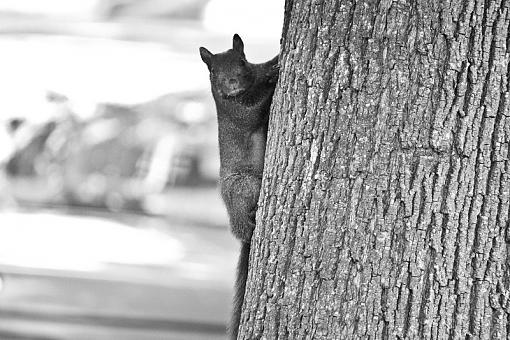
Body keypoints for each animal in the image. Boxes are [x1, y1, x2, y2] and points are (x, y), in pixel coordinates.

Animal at [199, 35, 278, 340]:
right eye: (212, 71)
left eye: (242, 61)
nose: (231, 81)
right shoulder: (237, 111)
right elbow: (254, 108)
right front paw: (273, 76)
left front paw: (274, 63)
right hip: (244, 186)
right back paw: (251, 219)